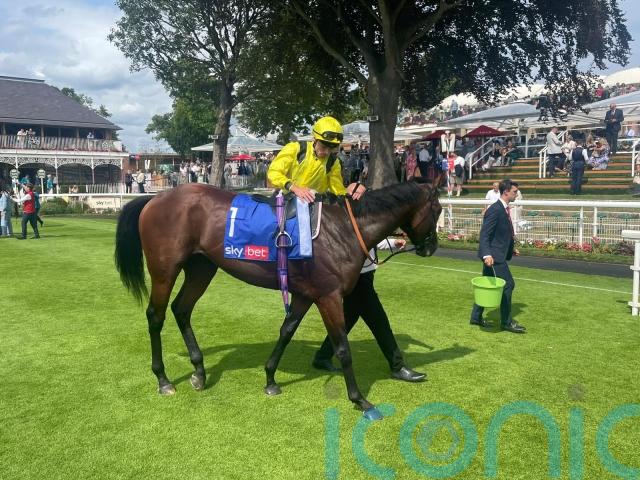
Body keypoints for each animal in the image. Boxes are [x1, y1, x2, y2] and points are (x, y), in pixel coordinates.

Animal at [114, 180, 441, 418]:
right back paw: (163, 379)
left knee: (181, 309)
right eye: (437, 210)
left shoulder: (305, 294)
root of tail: (156, 199)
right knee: (156, 316)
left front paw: (270, 379)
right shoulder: (328, 296)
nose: (431, 248)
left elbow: (286, 331)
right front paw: (360, 399)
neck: (345, 228)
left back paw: (199, 371)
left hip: (201, 267)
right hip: (164, 270)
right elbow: (343, 348)